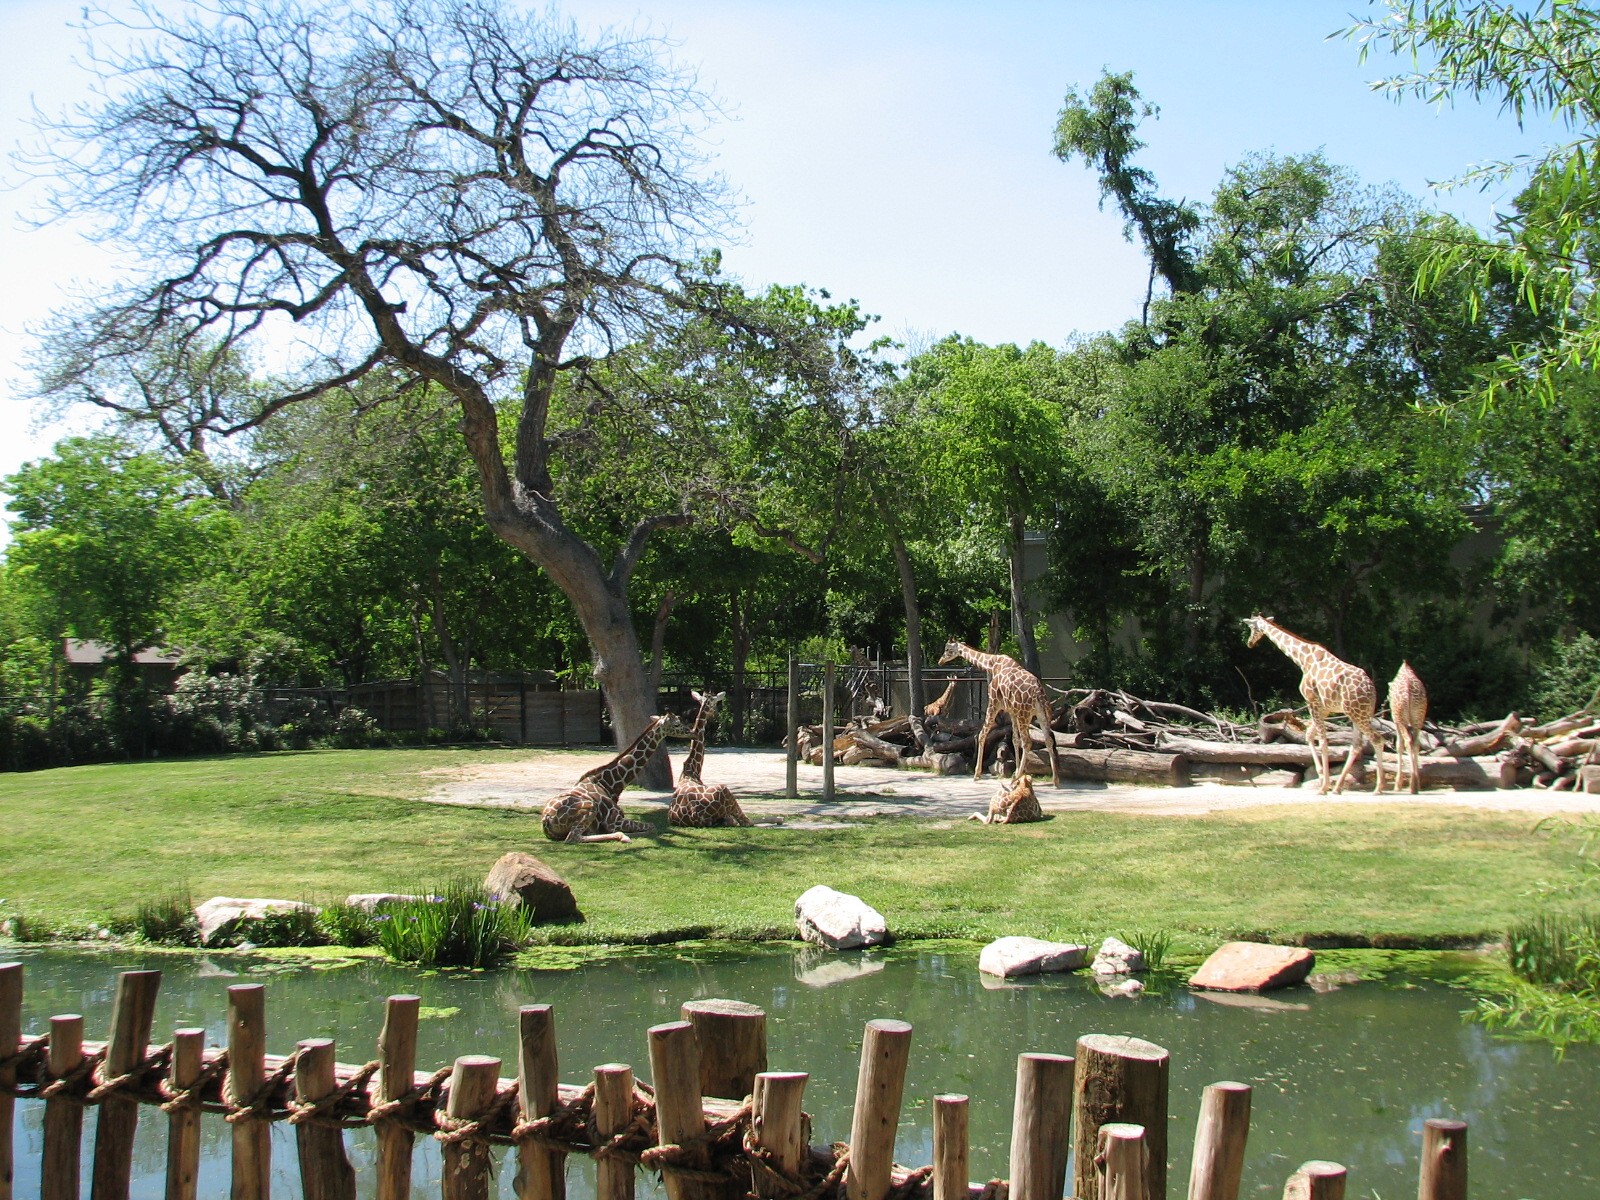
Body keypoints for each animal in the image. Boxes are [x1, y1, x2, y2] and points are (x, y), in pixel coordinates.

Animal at [540, 716, 668, 843]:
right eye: (673, 723)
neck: (609, 785)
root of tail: (546, 819)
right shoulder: (614, 822)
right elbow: (652, 827)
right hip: (591, 807)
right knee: (573, 837)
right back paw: (623, 837)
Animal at [669, 691, 753, 827]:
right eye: (715, 702)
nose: (716, 714)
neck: (692, 770)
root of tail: (697, 816)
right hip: (724, 790)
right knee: (746, 821)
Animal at [939, 639, 1061, 786]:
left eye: (947, 649)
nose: (940, 661)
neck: (992, 664)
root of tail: (1038, 692)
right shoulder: (1012, 711)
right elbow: (1014, 740)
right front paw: (1016, 771)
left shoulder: (993, 703)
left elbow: (982, 734)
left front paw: (977, 774)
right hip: (1041, 714)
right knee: (1048, 739)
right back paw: (1055, 780)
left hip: (1024, 714)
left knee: (1027, 742)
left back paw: (1016, 778)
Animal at [1244, 615, 1385, 795]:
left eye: (1252, 628)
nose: (1249, 642)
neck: (1303, 659)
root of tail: (1371, 690)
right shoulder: (1324, 709)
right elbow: (1310, 736)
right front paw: (1322, 779)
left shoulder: (1312, 702)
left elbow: (1323, 741)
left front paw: (1323, 786)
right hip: (1358, 713)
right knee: (1357, 745)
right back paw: (1338, 787)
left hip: (1357, 713)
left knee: (1377, 739)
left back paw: (1378, 788)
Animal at [1388, 661, 1429, 795]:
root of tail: (1408, 689)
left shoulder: (1396, 721)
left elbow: (1398, 746)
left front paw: (1397, 785)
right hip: (1418, 718)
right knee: (1415, 743)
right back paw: (1416, 784)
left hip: (1401, 718)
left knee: (1408, 742)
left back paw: (1412, 786)